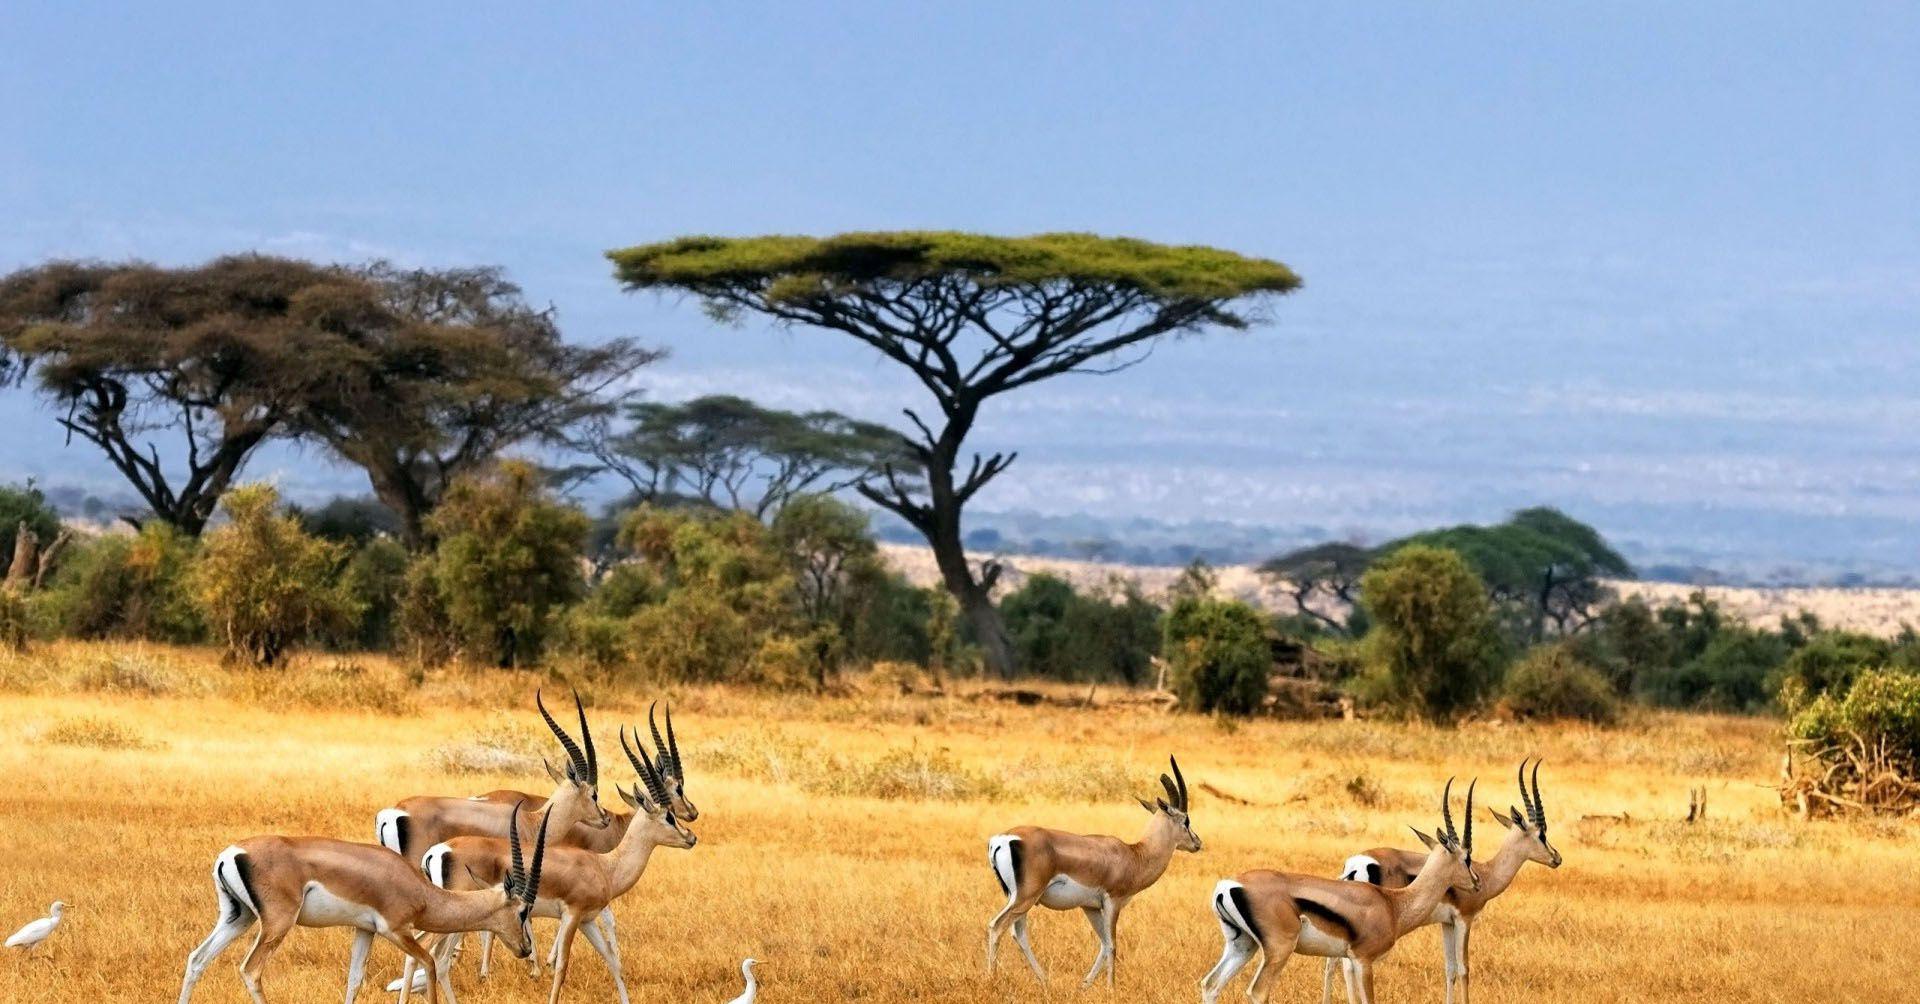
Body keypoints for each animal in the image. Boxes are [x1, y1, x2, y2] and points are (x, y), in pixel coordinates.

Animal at [176, 808, 549, 1004]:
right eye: (522, 911)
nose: (524, 948)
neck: (420, 891)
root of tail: (232, 853)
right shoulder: (396, 930)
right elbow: (428, 963)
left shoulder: (363, 931)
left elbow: (355, 979)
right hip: (276, 924)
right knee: (251, 970)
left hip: (238, 918)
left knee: (197, 959)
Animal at [399, 725, 698, 1004]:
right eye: (669, 816)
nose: (691, 836)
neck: (606, 866)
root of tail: (438, 851)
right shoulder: (571, 916)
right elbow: (563, 967)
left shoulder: (588, 920)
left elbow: (612, 960)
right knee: (434, 956)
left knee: (426, 954)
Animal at [986, 756, 1201, 989]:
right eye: (1186, 820)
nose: (1198, 843)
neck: (1134, 855)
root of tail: (1003, 839)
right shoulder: (1112, 902)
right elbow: (1112, 945)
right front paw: (1111, 988)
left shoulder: (1090, 907)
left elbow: (1104, 944)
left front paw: (1084, 985)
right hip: (1026, 897)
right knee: (997, 926)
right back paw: (992, 980)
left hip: (1019, 899)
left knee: (1019, 934)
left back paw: (1045, 980)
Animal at [1201, 780, 1480, 1004]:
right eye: (1466, 858)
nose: (1477, 883)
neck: (1393, 904)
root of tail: (1228, 885)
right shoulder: (1363, 960)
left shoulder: (1351, 960)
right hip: (1278, 950)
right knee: (1258, 992)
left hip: (1242, 946)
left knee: (1210, 984)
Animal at [1321, 761, 1560, 1004]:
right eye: (1542, 835)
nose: (1557, 858)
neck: (1486, 872)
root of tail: (1355, 864)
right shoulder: (1464, 919)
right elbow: (1464, 968)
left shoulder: (1446, 923)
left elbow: (1450, 969)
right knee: (1347, 966)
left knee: (1332, 963)